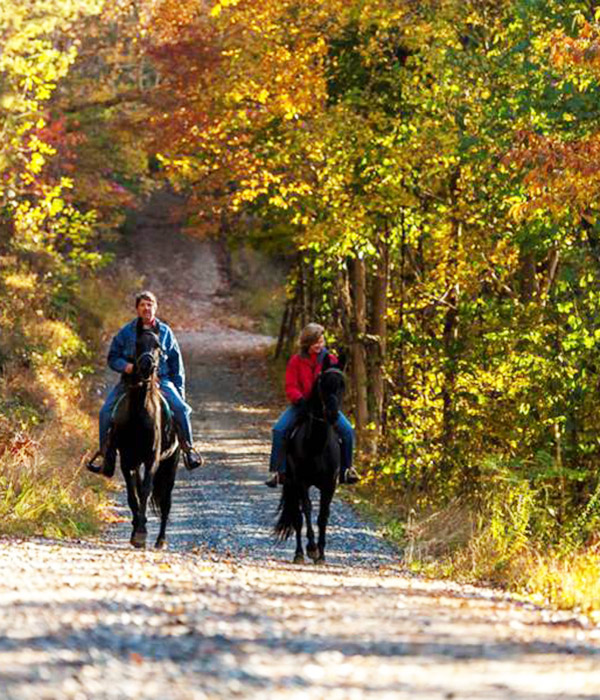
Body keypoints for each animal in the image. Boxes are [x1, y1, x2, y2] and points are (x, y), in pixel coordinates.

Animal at [112, 322, 180, 548]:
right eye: (137, 344)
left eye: (158, 345)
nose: (146, 365)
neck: (139, 414)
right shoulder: (127, 460)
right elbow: (132, 493)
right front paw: (136, 530)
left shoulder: (152, 459)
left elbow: (145, 490)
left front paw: (141, 531)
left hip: (170, 465)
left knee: (166, 501)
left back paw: (161, 540)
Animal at [274, 353, 346, 564]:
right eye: (323, 383)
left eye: (342, 384)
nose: (332, 414)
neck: (316, 444)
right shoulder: (301, 482)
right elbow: (306, 510)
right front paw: (312, 548)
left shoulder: (329, 484)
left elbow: (323, 516)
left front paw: (321, 554)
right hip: (291, 482)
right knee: (297, 518)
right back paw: (299, 553)